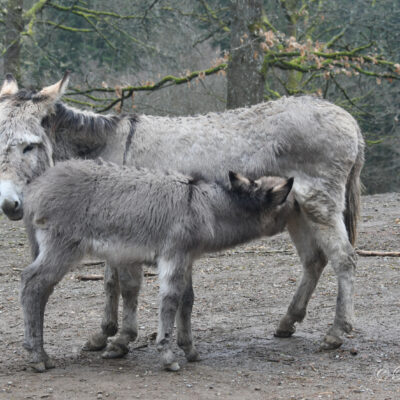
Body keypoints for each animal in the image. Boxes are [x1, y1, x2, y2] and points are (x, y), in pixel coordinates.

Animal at [21, 159, 296, 372]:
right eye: (292, 202)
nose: (304, 212)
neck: (205, 206)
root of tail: (35, 189)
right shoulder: (174, 255)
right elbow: (170, 300)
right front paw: (167, 355)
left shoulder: (187, 259)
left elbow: (187, 300)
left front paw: (190, 349)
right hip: (62, 247)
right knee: (32, 284)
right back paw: (36, 356)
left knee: (40, 289)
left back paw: (39, 352)